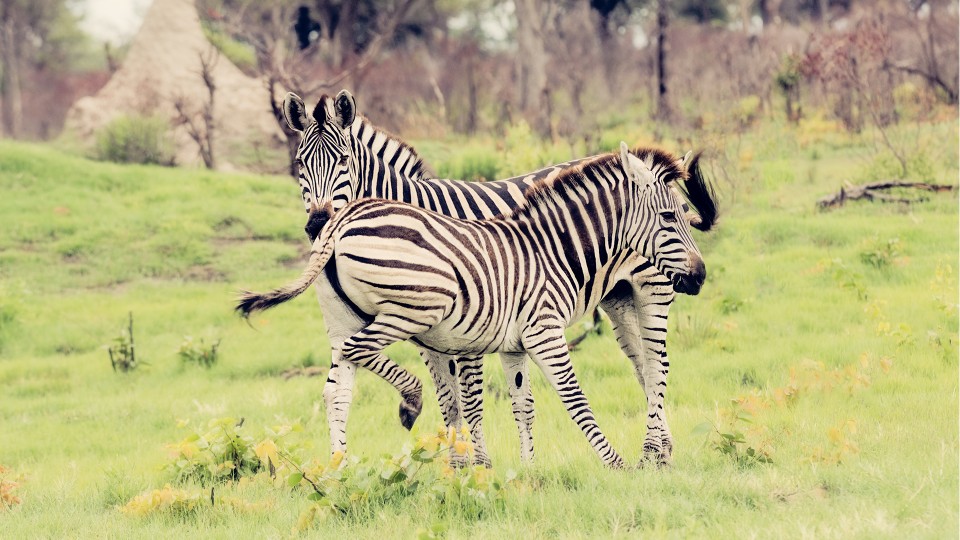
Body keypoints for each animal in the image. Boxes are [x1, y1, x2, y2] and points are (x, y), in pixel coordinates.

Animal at [278, 90, 712, 466]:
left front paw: (477, 462)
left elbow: (469, 398)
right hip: (617, 296)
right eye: (299, 166)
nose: (317, 224)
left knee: (657, 364)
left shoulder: (469, 319)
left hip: (653, 287)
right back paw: (661, 450)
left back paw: (653, 451)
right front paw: (459, 463)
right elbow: (447, 397)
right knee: (640, 363)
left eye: (343, 160)